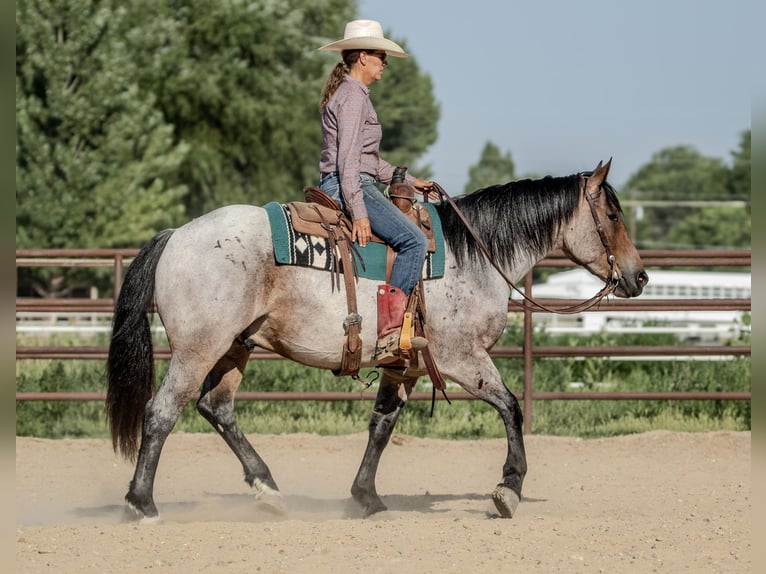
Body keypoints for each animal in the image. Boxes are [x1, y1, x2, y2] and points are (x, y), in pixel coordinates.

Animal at [106, 158, 648, 520]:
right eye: (613, 216)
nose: (639, 277)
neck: (473, 255)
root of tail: (177, 235)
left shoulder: (404, 365)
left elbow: (381, 427)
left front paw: (366, 496)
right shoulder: (462, 357)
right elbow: (511, 407)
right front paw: (508, 489)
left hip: (237, 345)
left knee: (215, 407)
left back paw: (268, 489)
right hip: (198, 348)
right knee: (163, 411)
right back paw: (141, 502)